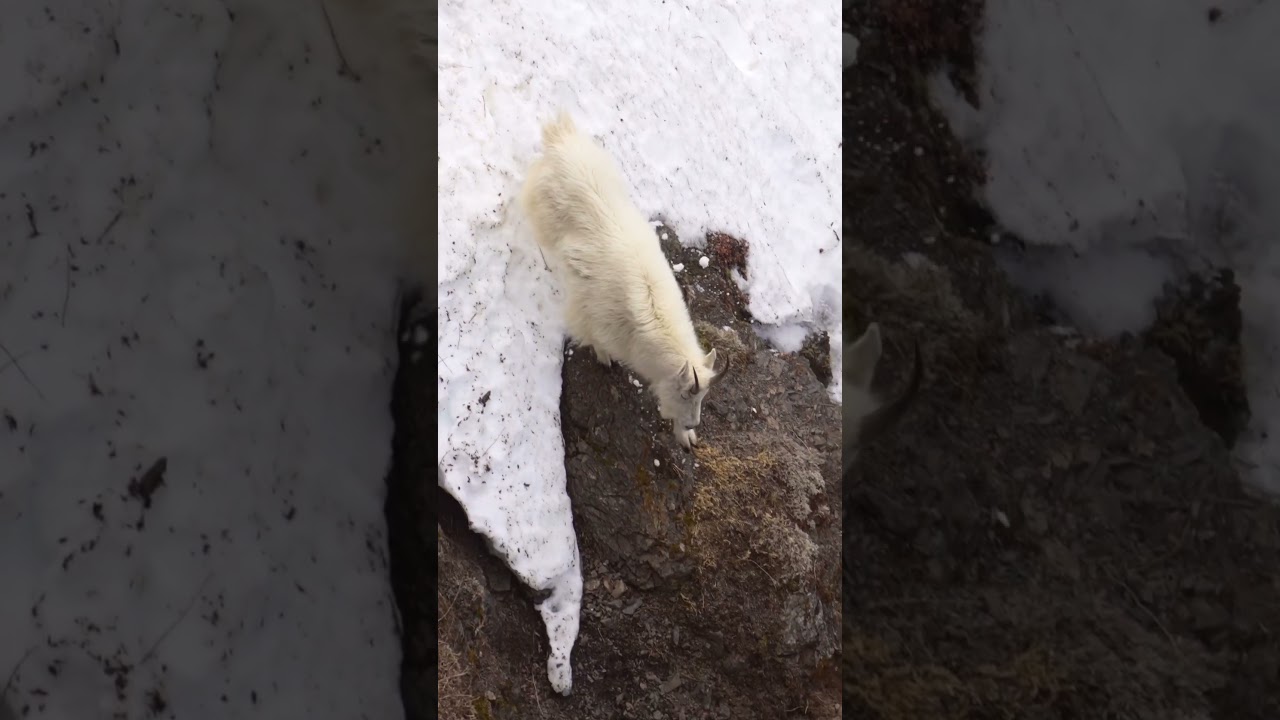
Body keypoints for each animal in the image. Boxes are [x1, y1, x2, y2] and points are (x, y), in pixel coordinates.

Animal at [520, 112, 731, 449]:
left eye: (703, 397)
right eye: (686, 393)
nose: (692, 423)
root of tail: (559, 138)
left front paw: (686, 438)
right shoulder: (593, 315)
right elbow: (594, 339)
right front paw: (605, 359)